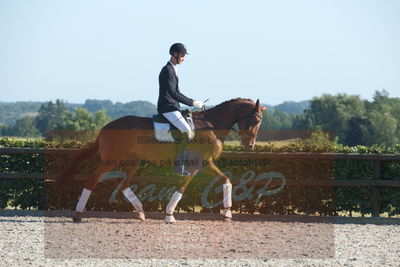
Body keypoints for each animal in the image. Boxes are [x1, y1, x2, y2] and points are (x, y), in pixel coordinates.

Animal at [55, 98, 266, 224]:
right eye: (255, 119)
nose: (250, 146)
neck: (211, 125)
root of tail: (105, 128)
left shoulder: (202, 165)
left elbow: (222, 180)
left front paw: (227, 212)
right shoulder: (200, 164)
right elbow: (186, 186)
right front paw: (170, 214)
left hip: (132, 162)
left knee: (124, 183)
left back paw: (140, 212)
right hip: (111, 161)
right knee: (93, 179)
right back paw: (78, 215)